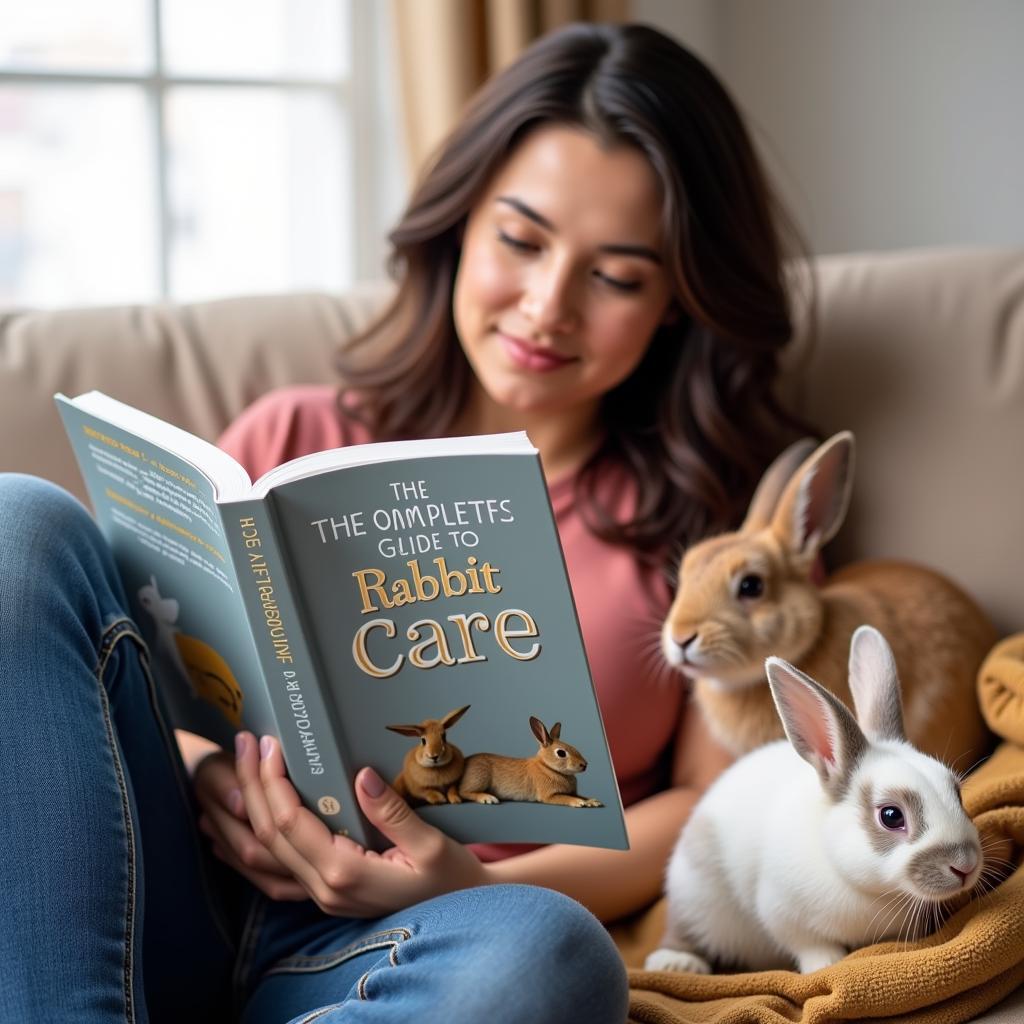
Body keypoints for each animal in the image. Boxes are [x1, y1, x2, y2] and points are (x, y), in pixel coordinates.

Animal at [458, 720, 606, 806]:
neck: (548, 767)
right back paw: (488, 798)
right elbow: (565, 798)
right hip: (479, 777)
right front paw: (579, 802)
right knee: (464, 792)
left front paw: (592, 801)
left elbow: (581, 795)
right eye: (561, 753)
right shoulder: (549, 795)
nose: (584, 764)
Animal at [647, 622, 983, 974]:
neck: (874, 892)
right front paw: (825, 964)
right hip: (694, 896)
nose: (965, 865)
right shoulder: (780, 910)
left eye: (957, 793)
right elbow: (808, 943)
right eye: (891, 816)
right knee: (684, 930)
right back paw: (676, 964)